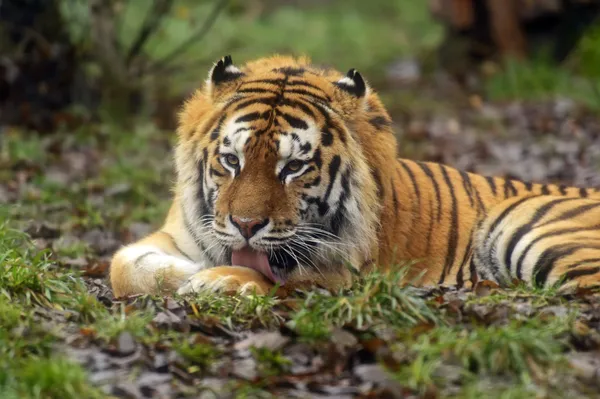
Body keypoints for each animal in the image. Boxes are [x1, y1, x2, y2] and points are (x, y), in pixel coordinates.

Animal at [109, 54, 600, 298]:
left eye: (293, 167)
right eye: (232, 161)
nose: (246, 226)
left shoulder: (344, 273)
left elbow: (283, 278)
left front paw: (218, 280)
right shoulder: (178, 235)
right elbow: (123, 266)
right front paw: (192, 274)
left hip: (526, 227)